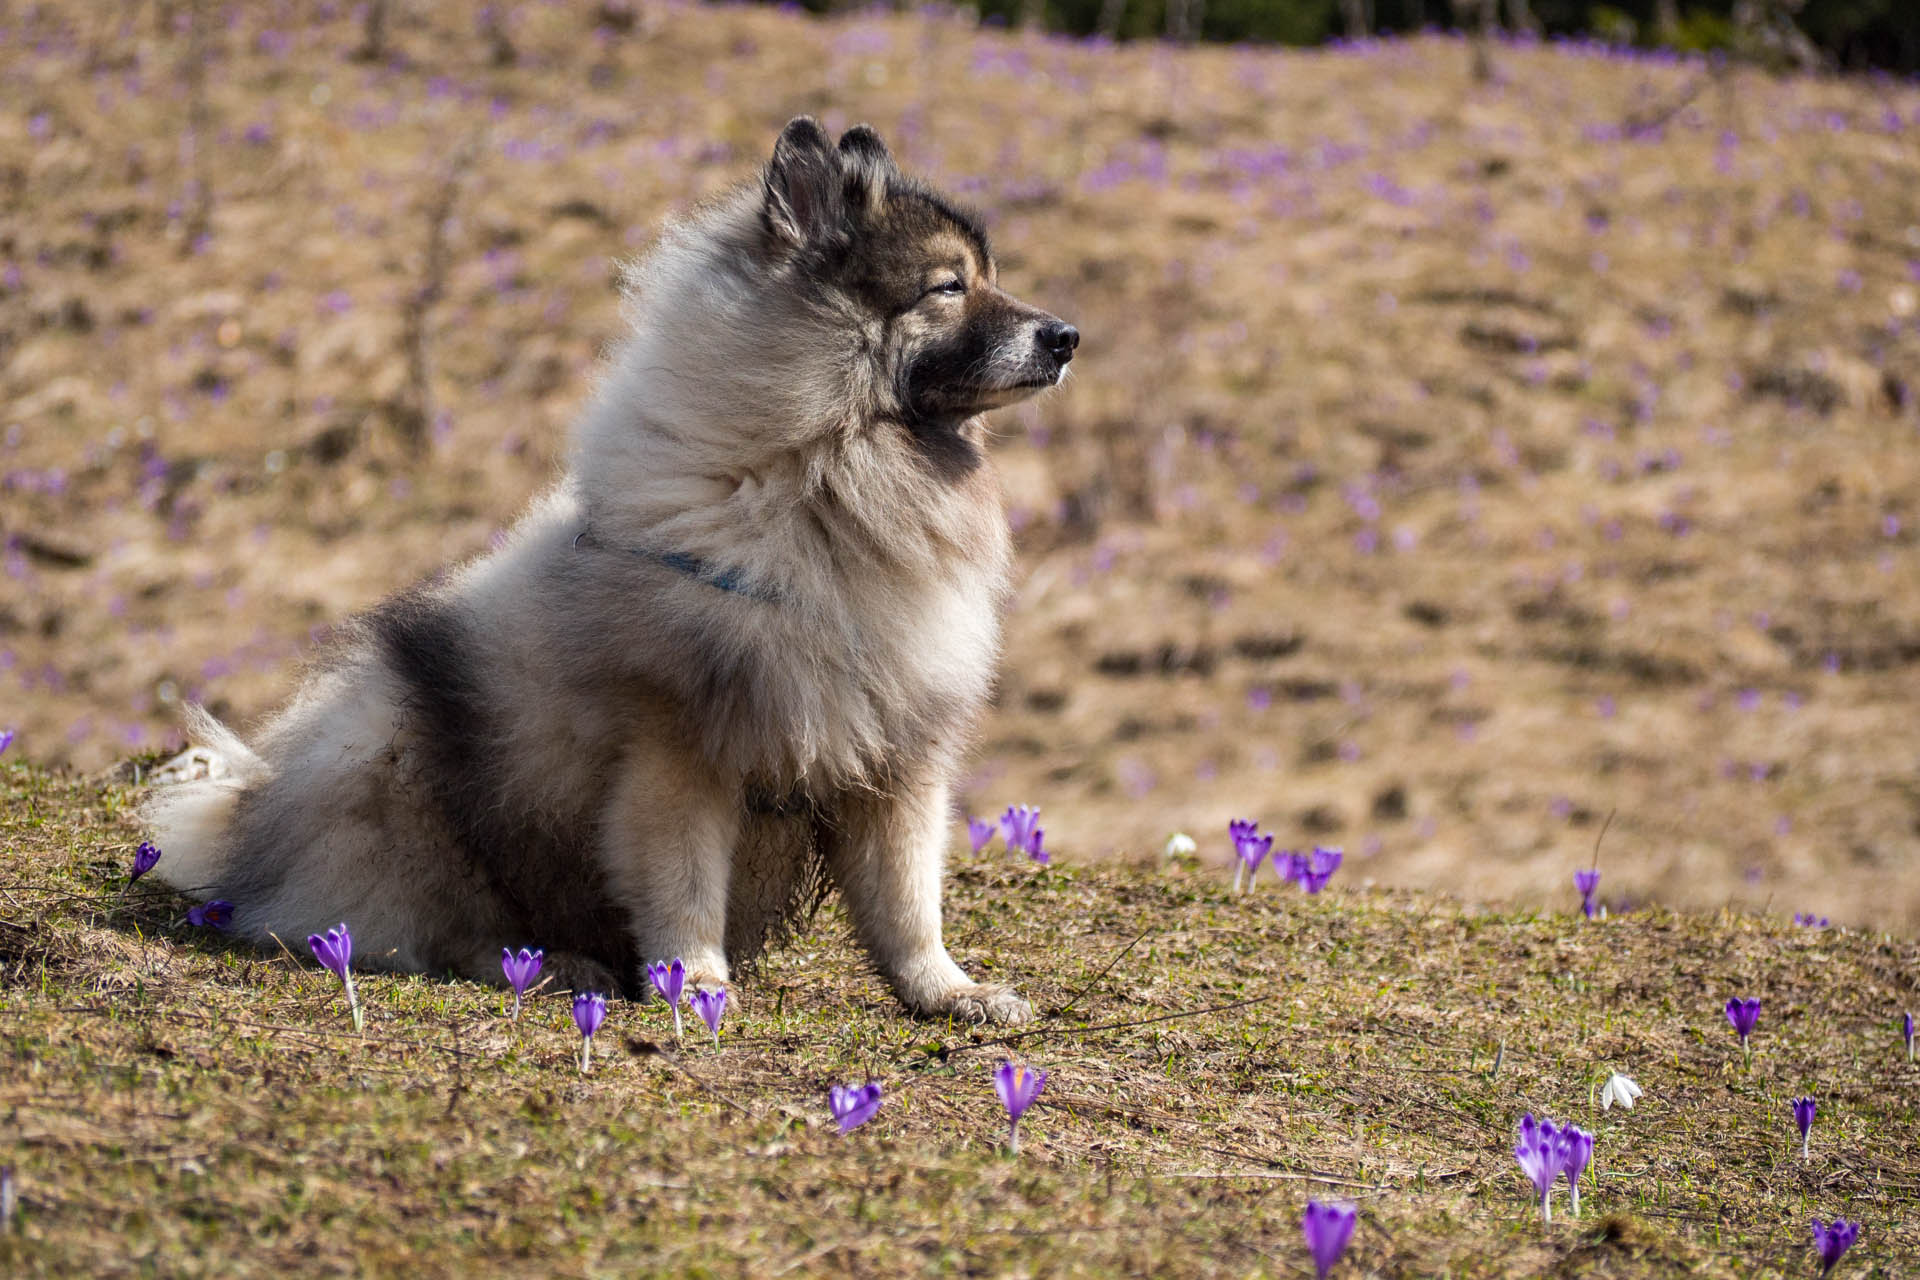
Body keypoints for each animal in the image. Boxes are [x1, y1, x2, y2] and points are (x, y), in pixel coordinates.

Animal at [142, 115, 1082, 1028]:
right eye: (948, 287)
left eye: (987, 278)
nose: (1068, 335)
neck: (821, 475)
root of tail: (249, 822)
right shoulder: (679, 750)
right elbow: (685, 886)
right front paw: (696, 985)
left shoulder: (898, 754)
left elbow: (908, 904)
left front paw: (949, 992)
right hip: (393, 767)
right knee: (438, 929)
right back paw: (552, 963)